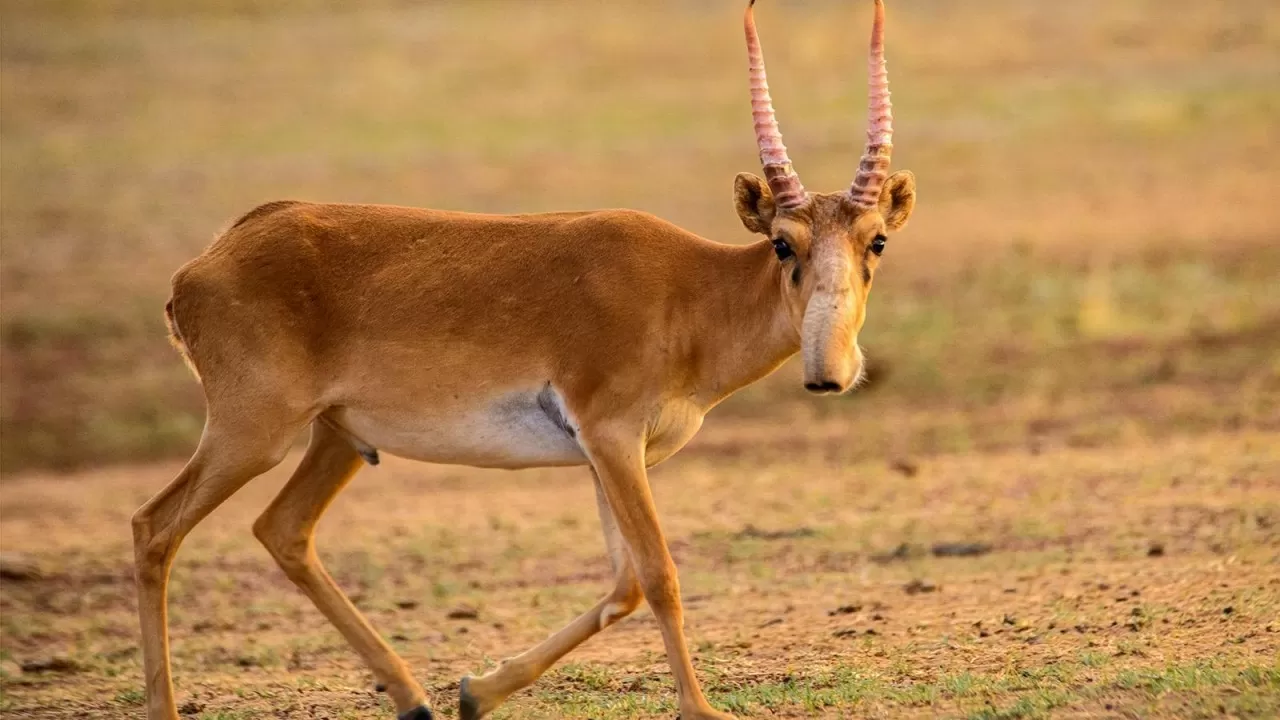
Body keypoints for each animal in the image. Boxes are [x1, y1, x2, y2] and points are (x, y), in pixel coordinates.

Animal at [135, 1, 916, 717]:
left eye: (876, 241)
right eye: (783, 243)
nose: (829, 374)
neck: (691, 289)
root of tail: (206, 261)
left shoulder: (611, 456)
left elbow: (624, 586)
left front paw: (476, 690)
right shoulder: (611, 437)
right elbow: (660, 575)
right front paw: (702, 709)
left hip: (337, 439)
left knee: (283, 530)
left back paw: (414, 697)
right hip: (254, 434)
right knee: (154, 528)